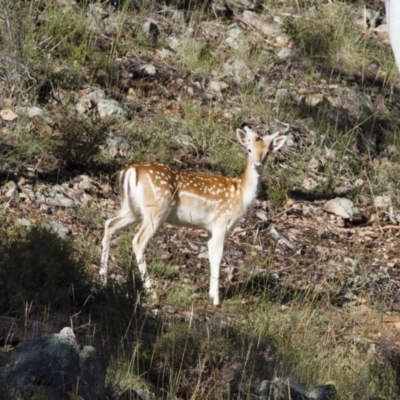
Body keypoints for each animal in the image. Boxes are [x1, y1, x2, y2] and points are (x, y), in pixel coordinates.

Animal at [100, 128, 288, 306]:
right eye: (249, 149)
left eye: (267, 152)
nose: (257, 165)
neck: (240, 194)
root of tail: (130, 171)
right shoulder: (221, 221)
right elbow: (218, 256)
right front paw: (216, 300)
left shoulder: (210, 228)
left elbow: (211, 255)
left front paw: (211, 294)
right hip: (156, 209)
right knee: (138, 241)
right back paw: (151, 291)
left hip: (132, 209)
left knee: (109, 224)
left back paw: (103, 279)